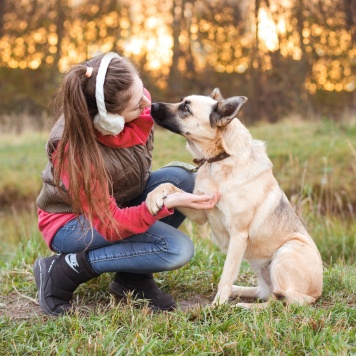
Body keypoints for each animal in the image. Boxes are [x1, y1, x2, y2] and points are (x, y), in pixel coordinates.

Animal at [146, 89, 324, 308]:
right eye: (182, 102)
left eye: (186, 108)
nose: (152, 105)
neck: (220, 159)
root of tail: (316, 293)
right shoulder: (201, 212)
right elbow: (169, 187)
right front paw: (153, 198)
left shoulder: (238, 235)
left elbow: (227, 275)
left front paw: (217, 306)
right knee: (266, 293)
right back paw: (239, 291)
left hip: (286, 251)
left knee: (279, 302)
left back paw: (245, 306)